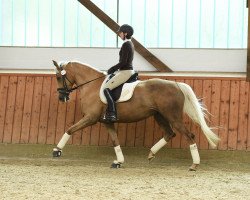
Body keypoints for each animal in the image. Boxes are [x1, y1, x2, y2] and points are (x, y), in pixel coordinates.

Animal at [51, 60, 220, 170]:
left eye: (59, 77)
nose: (61, 98)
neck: (92, 85)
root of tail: (177, 85)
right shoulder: (107, 122)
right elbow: (115, 141)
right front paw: (118, 162)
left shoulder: (90, 118)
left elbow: (70, 129)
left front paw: (57, 150)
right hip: (159, 115)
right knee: (169, 133)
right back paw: (151, 154)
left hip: (173, 117)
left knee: (188, 136)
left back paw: (194, 165)